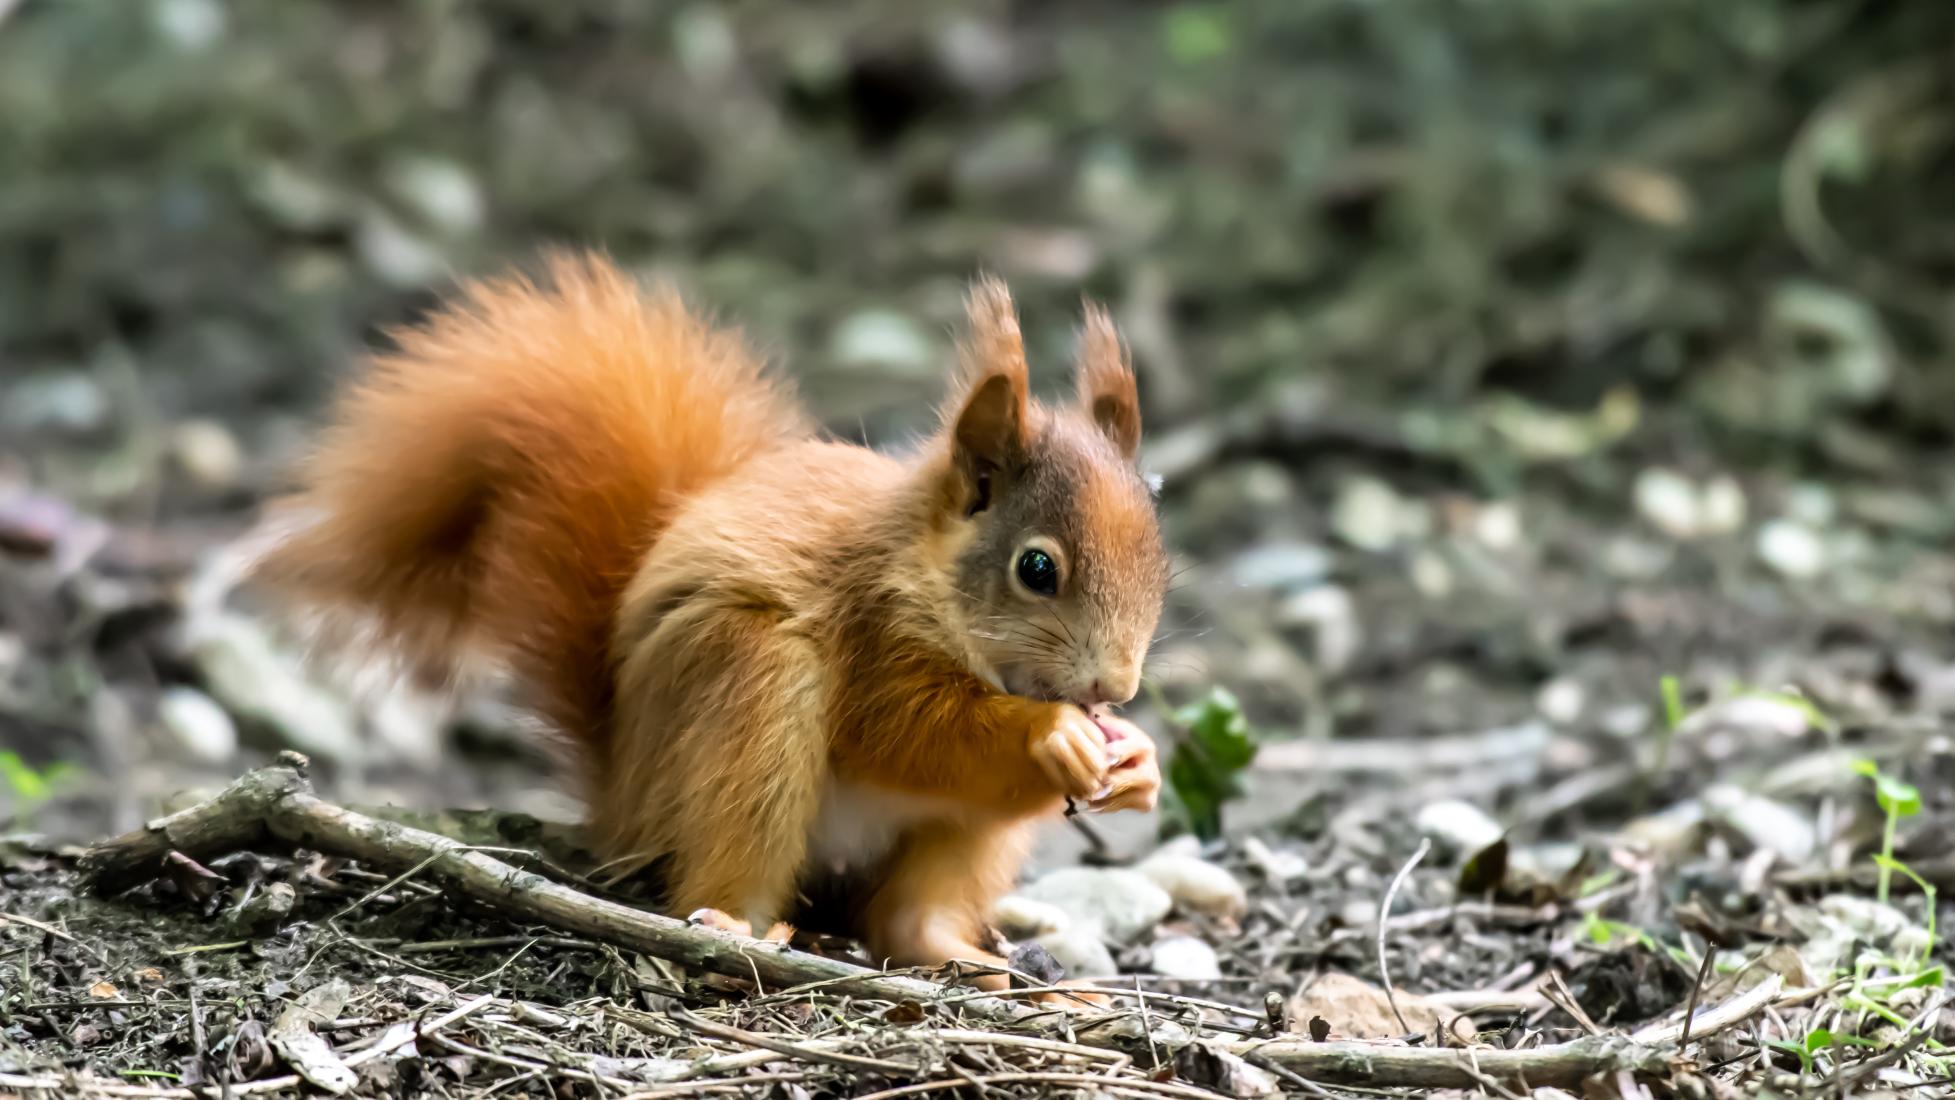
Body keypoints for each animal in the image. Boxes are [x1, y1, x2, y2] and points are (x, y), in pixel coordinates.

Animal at [244, 255, 1157, 1000]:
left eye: (1158, 549)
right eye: (1036, 569)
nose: (1115, 687)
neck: (926, 574)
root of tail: (621, 794)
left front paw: (1138, 761)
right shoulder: (867, 626)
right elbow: (901, 731)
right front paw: (1048, 734)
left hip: (949, 840)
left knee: (908, 919)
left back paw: (1006, 976)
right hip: (748, 680)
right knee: (724, 873)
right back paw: (738, 930)